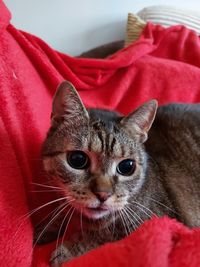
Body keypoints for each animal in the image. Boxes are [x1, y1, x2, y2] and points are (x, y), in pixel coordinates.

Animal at [40, 80, 200, 266]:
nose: (103, 194)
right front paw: (47, 225)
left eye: (127, 167)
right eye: (77, 159)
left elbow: (105, 234)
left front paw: (69, 249)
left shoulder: (157, 220)